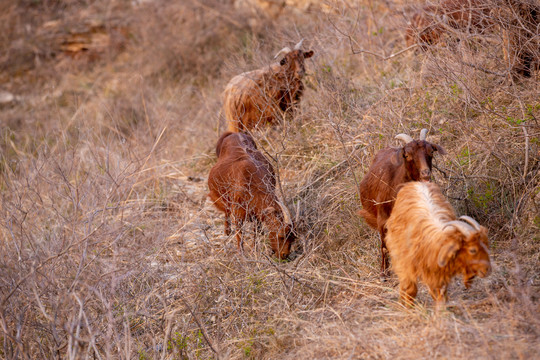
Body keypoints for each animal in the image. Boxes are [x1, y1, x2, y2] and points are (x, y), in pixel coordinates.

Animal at [358, 129, 448, 276]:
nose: (425, 173)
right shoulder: (382, 220)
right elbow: (384, 246)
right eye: (407, 155)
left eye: (431, 151)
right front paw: (383, 273)